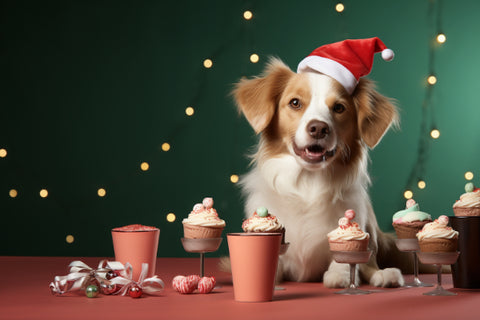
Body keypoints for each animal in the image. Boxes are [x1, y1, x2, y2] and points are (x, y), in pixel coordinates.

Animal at [232, 56, 404, 288]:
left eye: (339, 108)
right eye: (295, 103)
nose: (319, 128)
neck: (307, 183)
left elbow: (349, 258)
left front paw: (340, 275)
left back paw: (385, 275)